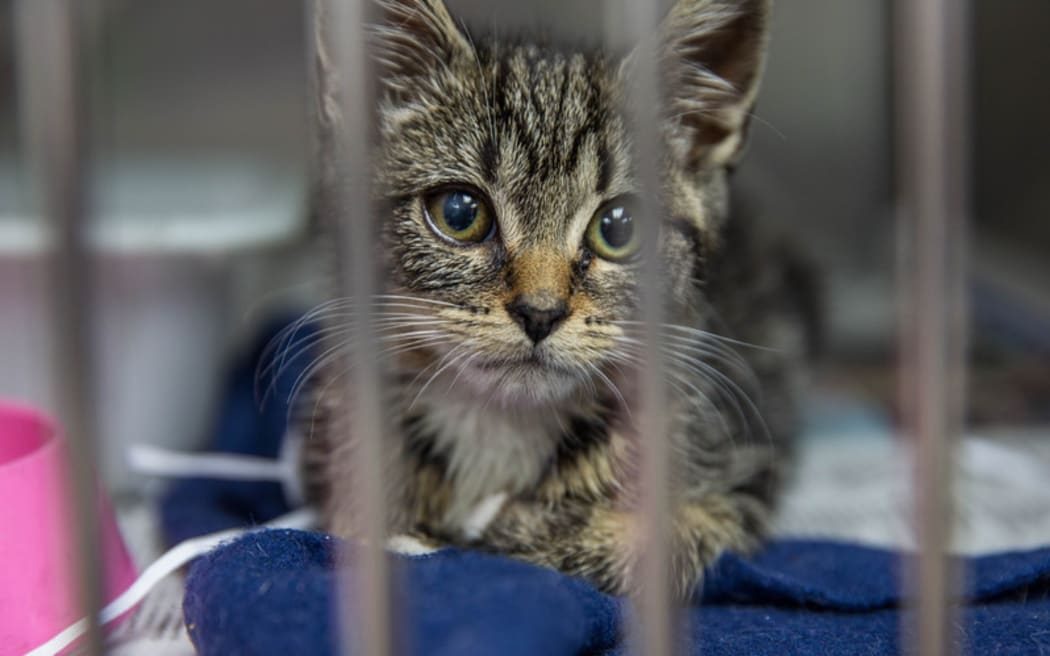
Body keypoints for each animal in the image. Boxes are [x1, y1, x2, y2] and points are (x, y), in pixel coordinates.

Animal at [300, 0, 806, 600]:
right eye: (459, 213)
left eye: (619, 227)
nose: (540, 312)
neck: (500, 421)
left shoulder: (739, 479)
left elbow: (654, 542)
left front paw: (504, 531)